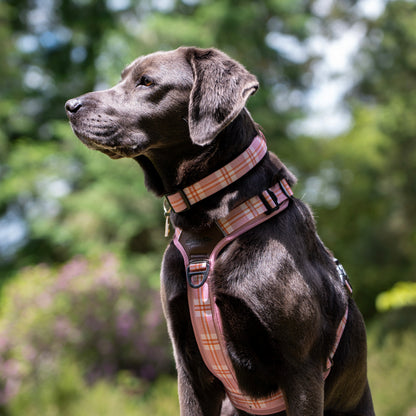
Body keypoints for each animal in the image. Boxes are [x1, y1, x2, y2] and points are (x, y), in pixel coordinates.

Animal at [66, 47, 376, 414]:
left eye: (147, 82)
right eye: (123, 78)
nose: (70, 106)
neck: (209, 226)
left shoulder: (302, 368)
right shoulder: (188, 365)